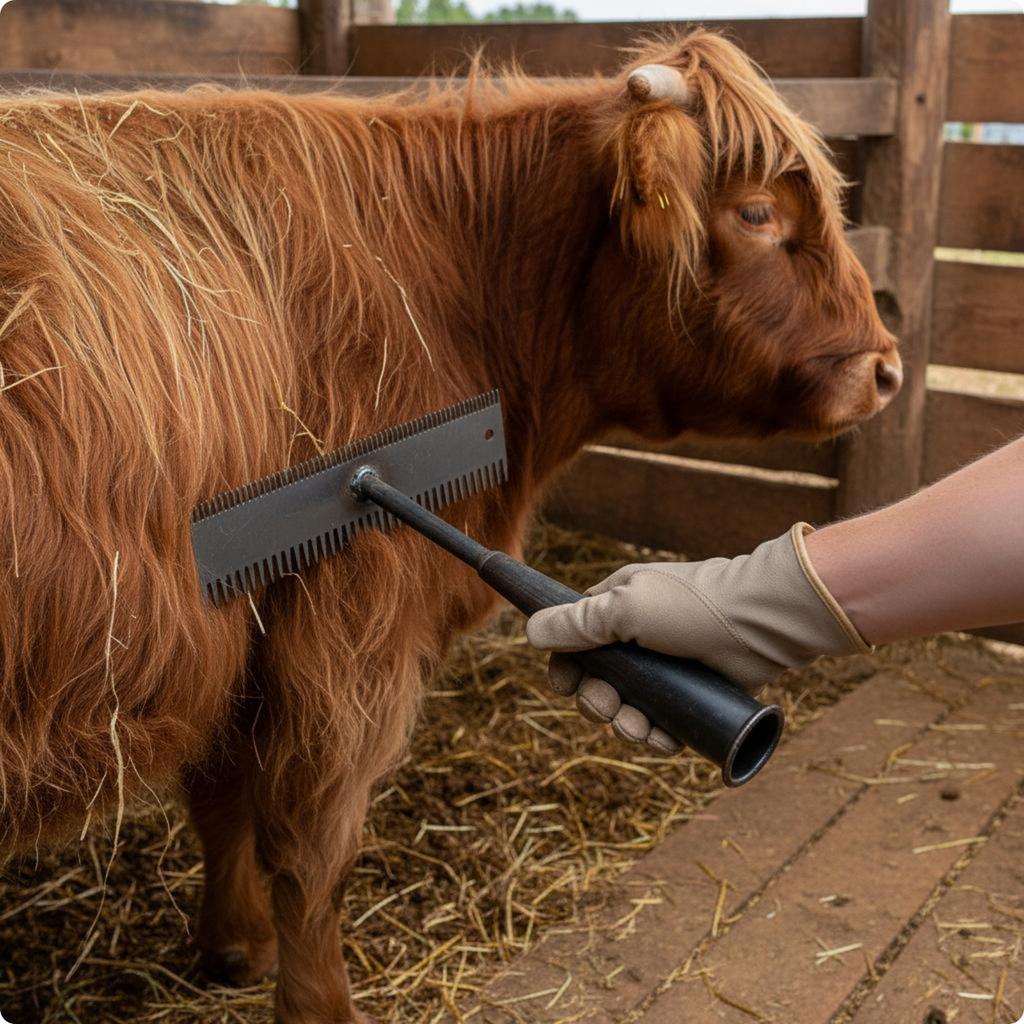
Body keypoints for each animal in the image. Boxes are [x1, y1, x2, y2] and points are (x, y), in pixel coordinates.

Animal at [0, 31, 899, 1023]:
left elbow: (225, 797)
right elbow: (315, 848)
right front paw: (320, 1006)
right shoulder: (351, 619)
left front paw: (237, 944)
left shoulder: (247, 621)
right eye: (756, 211)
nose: (885, 369)